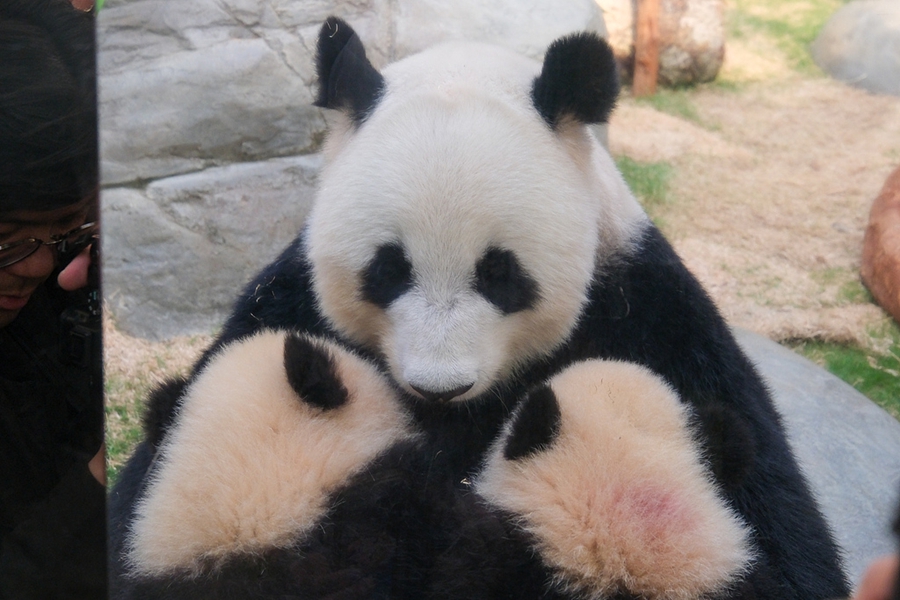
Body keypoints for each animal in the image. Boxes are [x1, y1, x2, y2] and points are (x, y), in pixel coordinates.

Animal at [112, 14, 852, 600]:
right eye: (388, 271)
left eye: (502, 276)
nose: (440, 386)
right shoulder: (288, 303)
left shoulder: (649, 312)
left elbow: (780, 534)